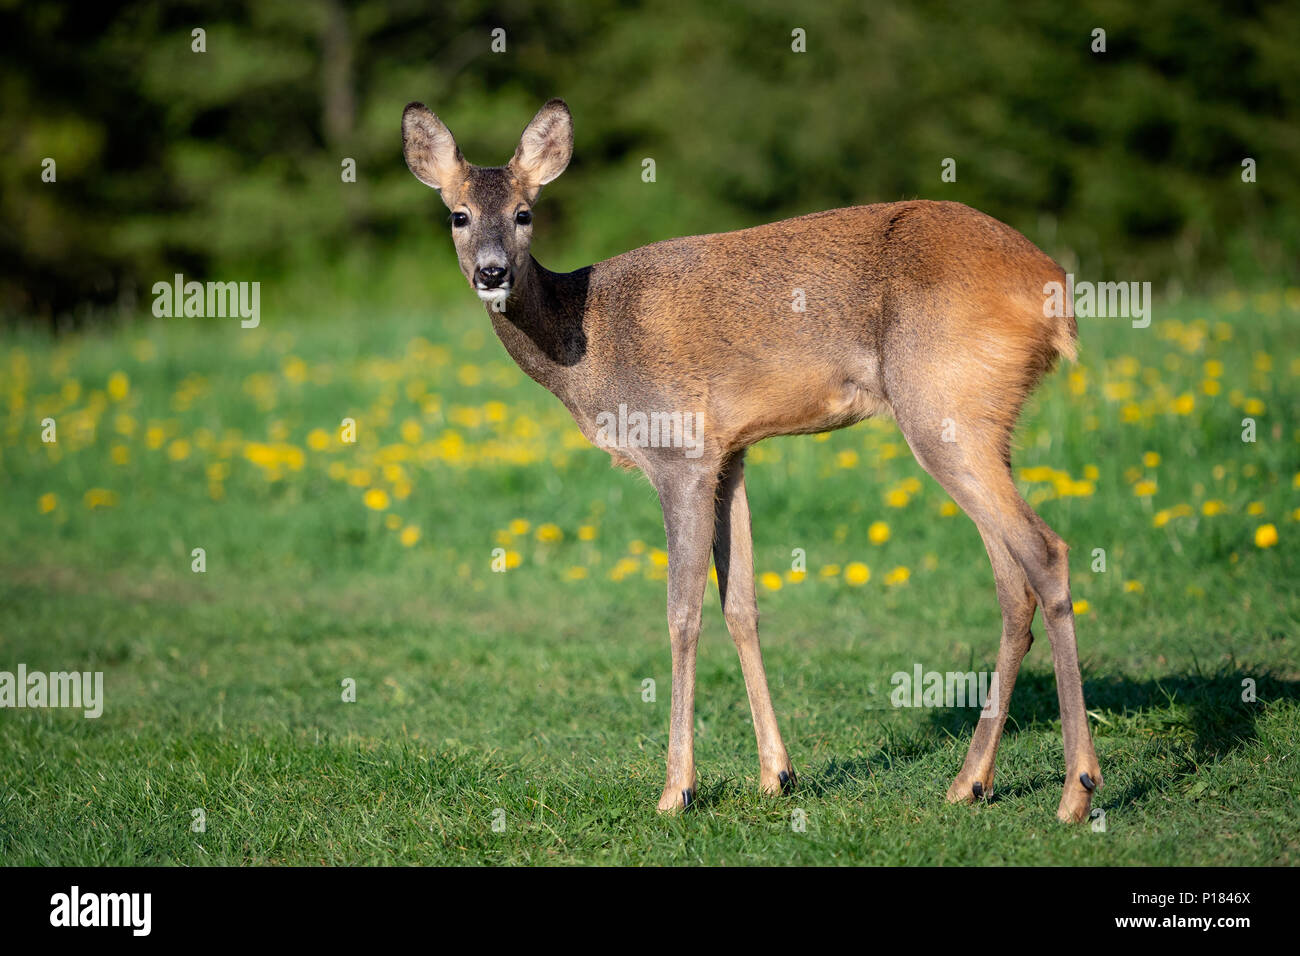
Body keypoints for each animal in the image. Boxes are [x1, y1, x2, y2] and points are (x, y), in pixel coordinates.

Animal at [401, 97, 1102, 823]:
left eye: (524, 212)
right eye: (458, 213)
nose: (491, 273)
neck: (584, 339)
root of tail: (1055, 293)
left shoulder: (678, 451)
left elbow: (682, 612)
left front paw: (676, 789)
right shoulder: (731, 450)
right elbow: (741, 604)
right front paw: (776, 775)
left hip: (945, 407)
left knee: (1045, 551)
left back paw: (1075, 791)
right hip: (979, 423)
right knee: (1012, 580)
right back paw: (971, 782)